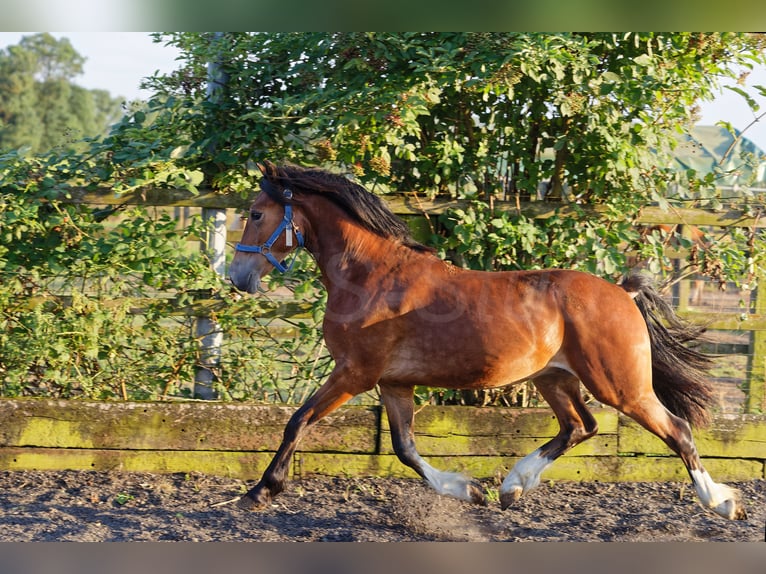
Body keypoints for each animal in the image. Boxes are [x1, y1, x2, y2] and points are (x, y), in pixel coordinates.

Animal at [228, 161, 747, 521]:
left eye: (255, 213)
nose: (237, 277)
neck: (370, 277)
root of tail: (622, 292)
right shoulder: (394, 383)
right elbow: (404, 448)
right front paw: (469, 489)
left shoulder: (355, 373)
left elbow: (297, 421)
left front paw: (261, 490)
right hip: (554, 378)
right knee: (579, 427)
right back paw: (512, 487)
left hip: (621, 386)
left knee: (676, 429)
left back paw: (721, 502)